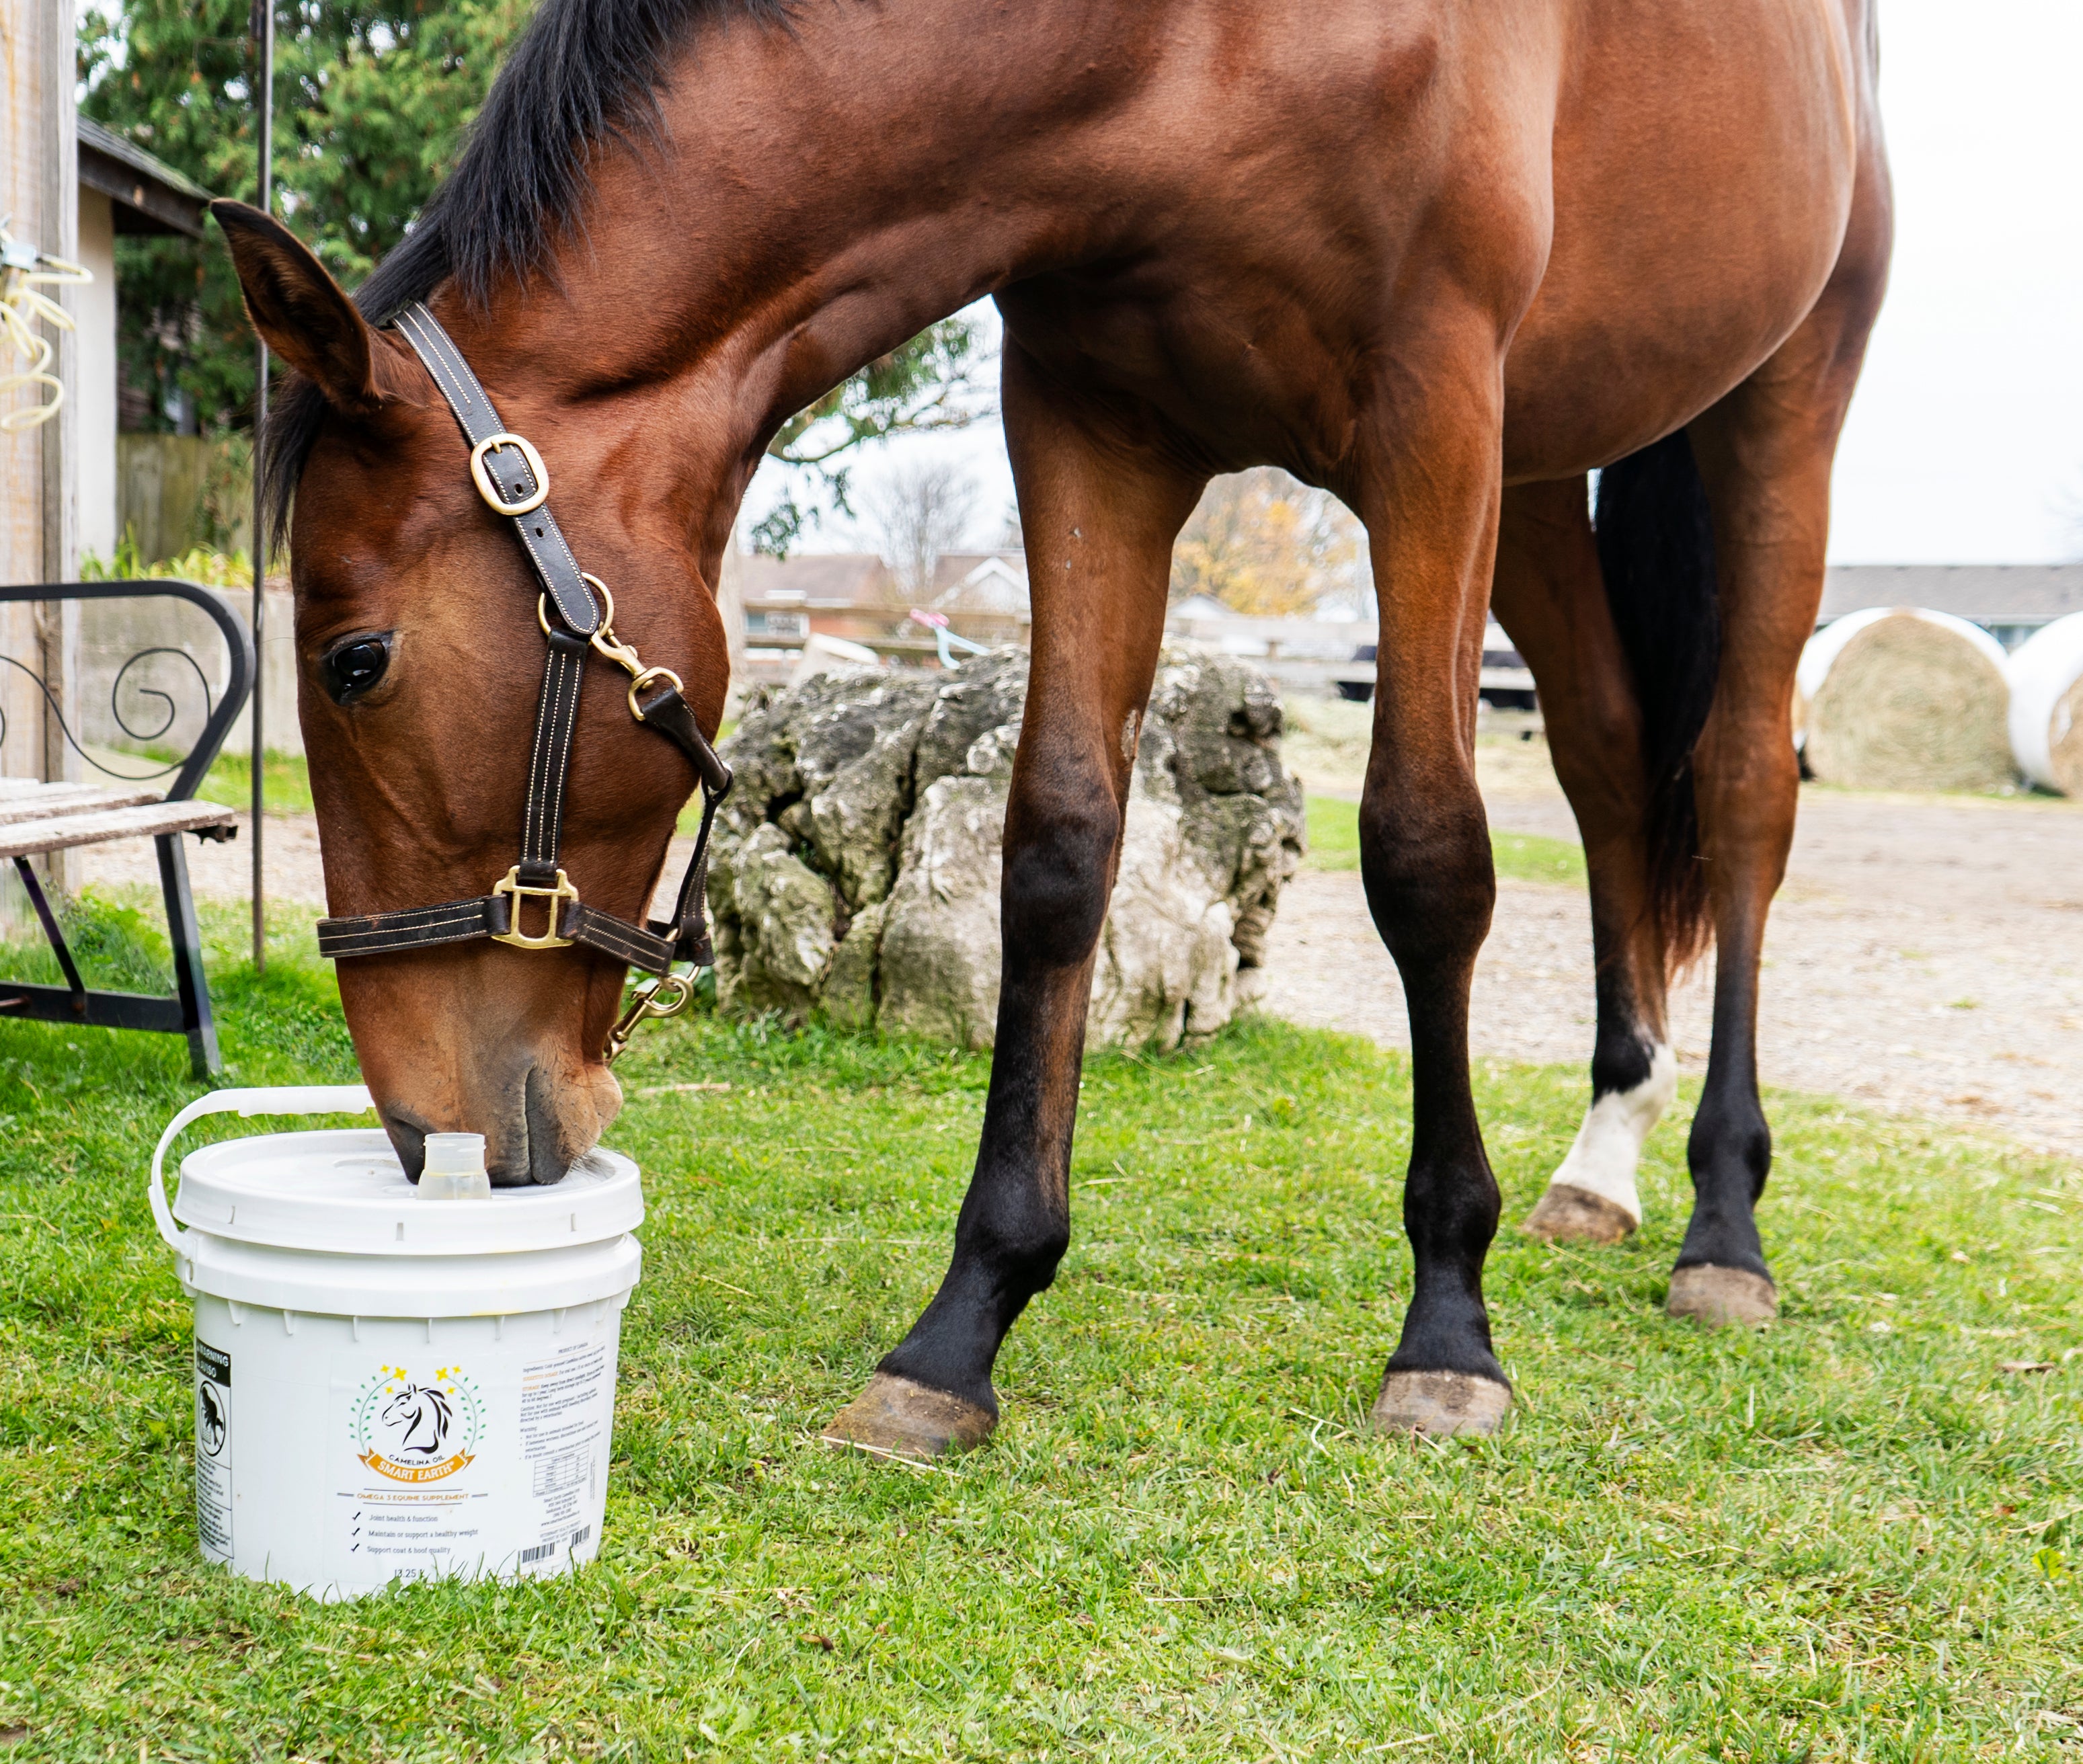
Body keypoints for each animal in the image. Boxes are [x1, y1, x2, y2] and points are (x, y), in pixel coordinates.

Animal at [212, 0, 1890, 1449]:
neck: (1192, 49)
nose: (423, 1125)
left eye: (356, 662)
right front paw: (963, 1326)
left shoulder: (1434, 422)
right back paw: (1603, 1157)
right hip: (1541, 468)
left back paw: (1721, 1222)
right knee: (1608, 754)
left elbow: (1425, 855)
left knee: (1740, 786)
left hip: (1772, 409)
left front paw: (1446, 1330)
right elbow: (1056, 849)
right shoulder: (1092, 424)